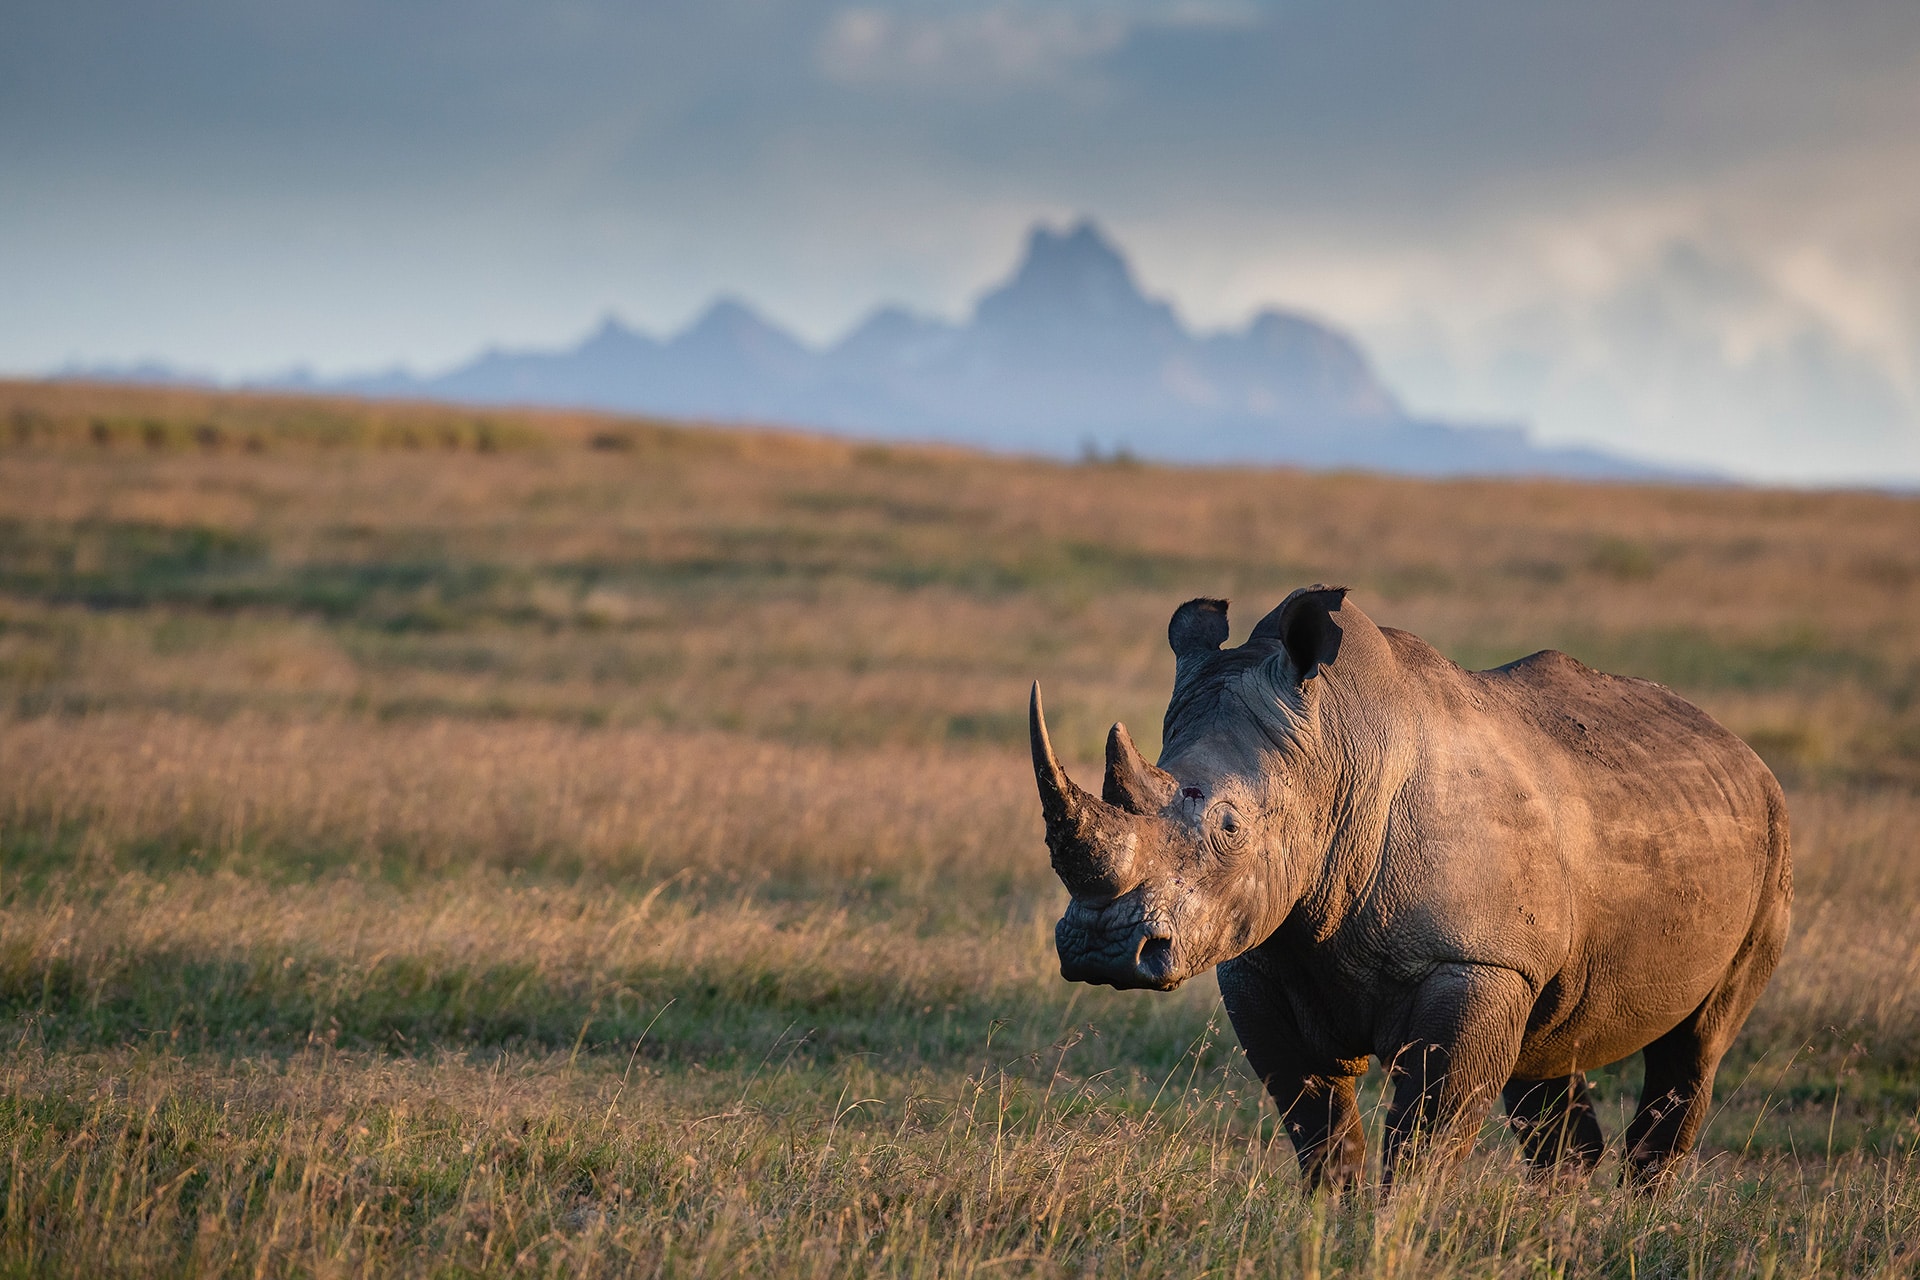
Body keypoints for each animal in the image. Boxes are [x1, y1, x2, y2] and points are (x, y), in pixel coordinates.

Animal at [1030, 587, 1790, 1186]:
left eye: (1229, 825)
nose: (1102, 949)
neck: (1334, 750)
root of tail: (1741, 750)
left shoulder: (1475, 961)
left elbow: (1426, 1136)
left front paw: (1394, 1238)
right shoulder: (1261, 959)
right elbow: (1321, 1130)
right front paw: (1330, 1230)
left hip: (1771, 834)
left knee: (1695, 1048)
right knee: (1550, 1065)